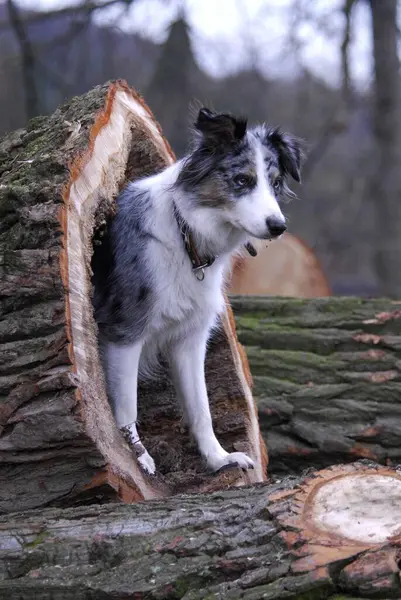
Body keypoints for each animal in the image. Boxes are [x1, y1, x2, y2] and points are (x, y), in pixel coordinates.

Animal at [91, 106, 304, 474]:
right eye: (242, 180)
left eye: (276, 183)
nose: (278, 227)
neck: (186, 235)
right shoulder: (125, 331)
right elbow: (127, 405)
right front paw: (137, 458)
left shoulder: (190, 338)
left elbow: (201, 407)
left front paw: (219, 458)